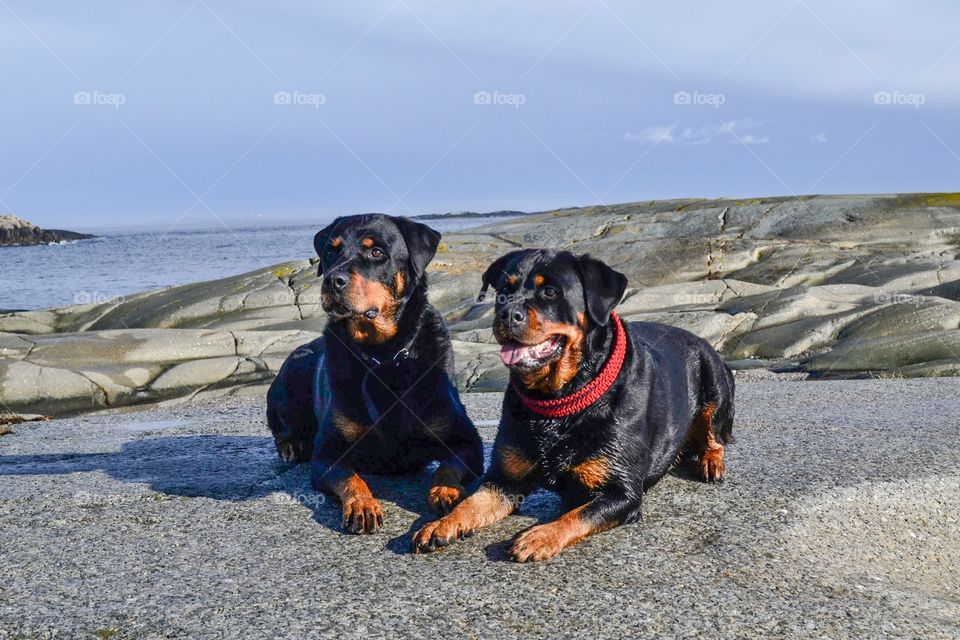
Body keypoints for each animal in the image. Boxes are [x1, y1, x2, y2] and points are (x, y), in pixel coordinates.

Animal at [266, 215, 484, 536]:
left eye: (377, 252)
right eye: (330, 251)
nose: (332, 280)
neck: (382, 356)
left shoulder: (467, 441)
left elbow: (447, 468)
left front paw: (447, 491)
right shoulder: (328, 453)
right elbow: (350, 478)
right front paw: (362, 504)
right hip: (293, 369)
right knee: (280, 425)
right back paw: (291, 444)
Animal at [412, 250, 736, 560]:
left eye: (550, 292)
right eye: (504, 290)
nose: (506, 314)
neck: (559, 399)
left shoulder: (622, 491)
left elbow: (577, 515)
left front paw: (540, 536)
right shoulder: (504, 481)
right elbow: (472, 502)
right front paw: (441, 524)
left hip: (714, 379)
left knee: (715, 434)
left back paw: (711, 461)